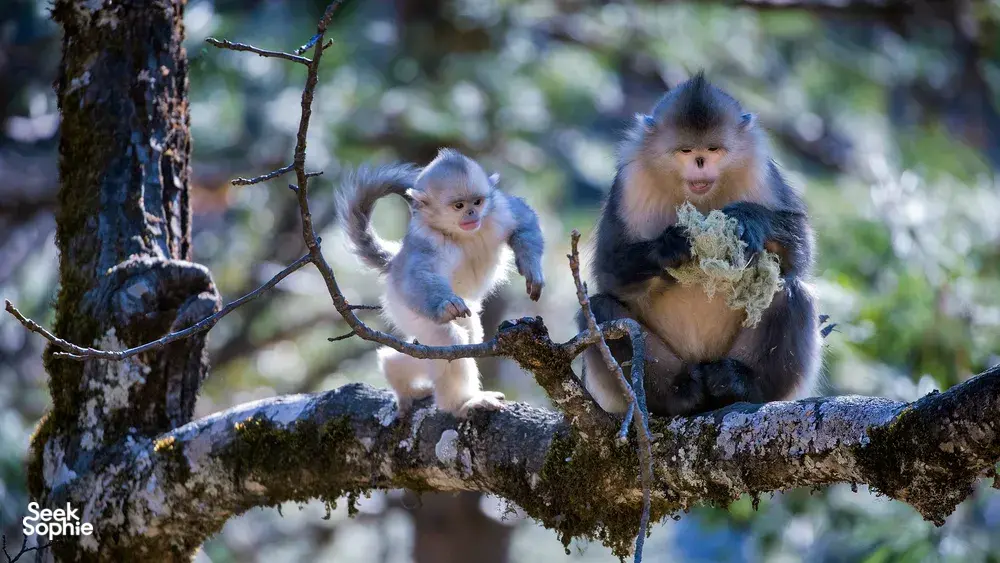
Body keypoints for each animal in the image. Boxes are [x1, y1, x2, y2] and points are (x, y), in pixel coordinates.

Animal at [337, 148, 545, 417]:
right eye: (459, 205)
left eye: (477, 202)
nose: (472, 214)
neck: (461, 234)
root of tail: (394, 263)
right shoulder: (428, 242)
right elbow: (418, 278)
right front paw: (447, 305)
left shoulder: (500, 211)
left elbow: (524, 219)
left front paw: (532, 269)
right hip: (404, 309)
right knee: (449, 340)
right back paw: (460, 403)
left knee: (464, 339)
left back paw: (395, 371)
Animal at [578, 72, 821, 417]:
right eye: (686, 150)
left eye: (713, 148)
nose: (701, 161)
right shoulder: (629, 182)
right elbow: (608, 272)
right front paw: (670, 246)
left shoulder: (762, 172)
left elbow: (799, 254)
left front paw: (751, 220)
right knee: (600, 310)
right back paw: (680, 394)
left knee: (791, 292)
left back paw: (738, 384)